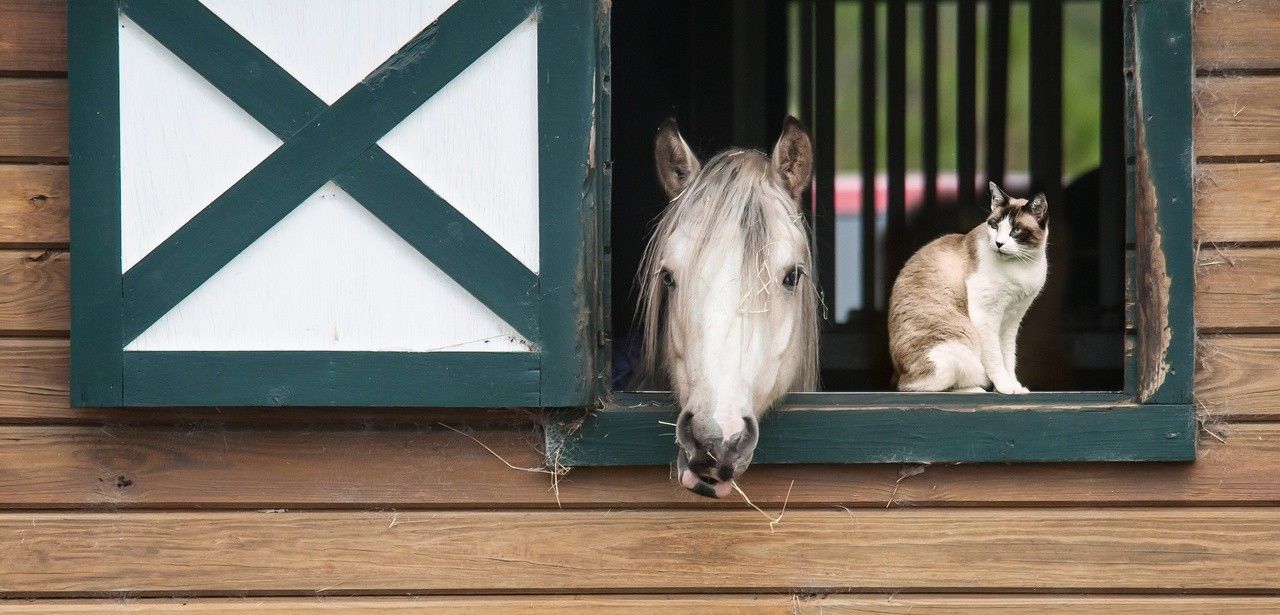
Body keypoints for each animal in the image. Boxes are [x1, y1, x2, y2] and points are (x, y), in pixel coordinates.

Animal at [890, 181, 1049, 394]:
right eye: (995, 225)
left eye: (1015, 231)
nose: (998, 243)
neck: (1024, 265)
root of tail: (899, 374)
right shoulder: (987, 315)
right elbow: (995, 358)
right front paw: (1005, 387)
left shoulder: (1012, 319)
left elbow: (1008, 356)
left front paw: (1014, 386)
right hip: (956, 353)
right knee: (920, 388)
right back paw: (976, 390)